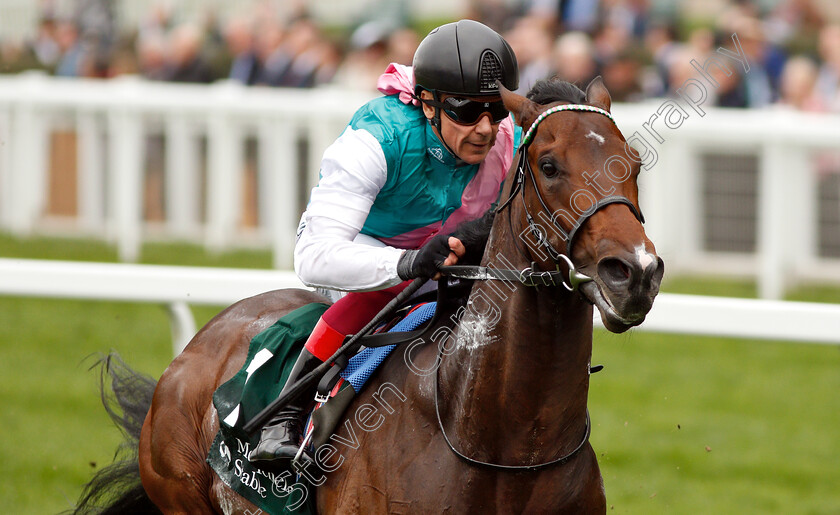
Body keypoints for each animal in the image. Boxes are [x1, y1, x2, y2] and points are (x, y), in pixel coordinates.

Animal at [74, 77, 664, 515]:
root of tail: (195, 349)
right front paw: (436, 253)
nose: (634, 273)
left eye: (634, 164)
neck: (504, 447)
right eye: (549, 165)